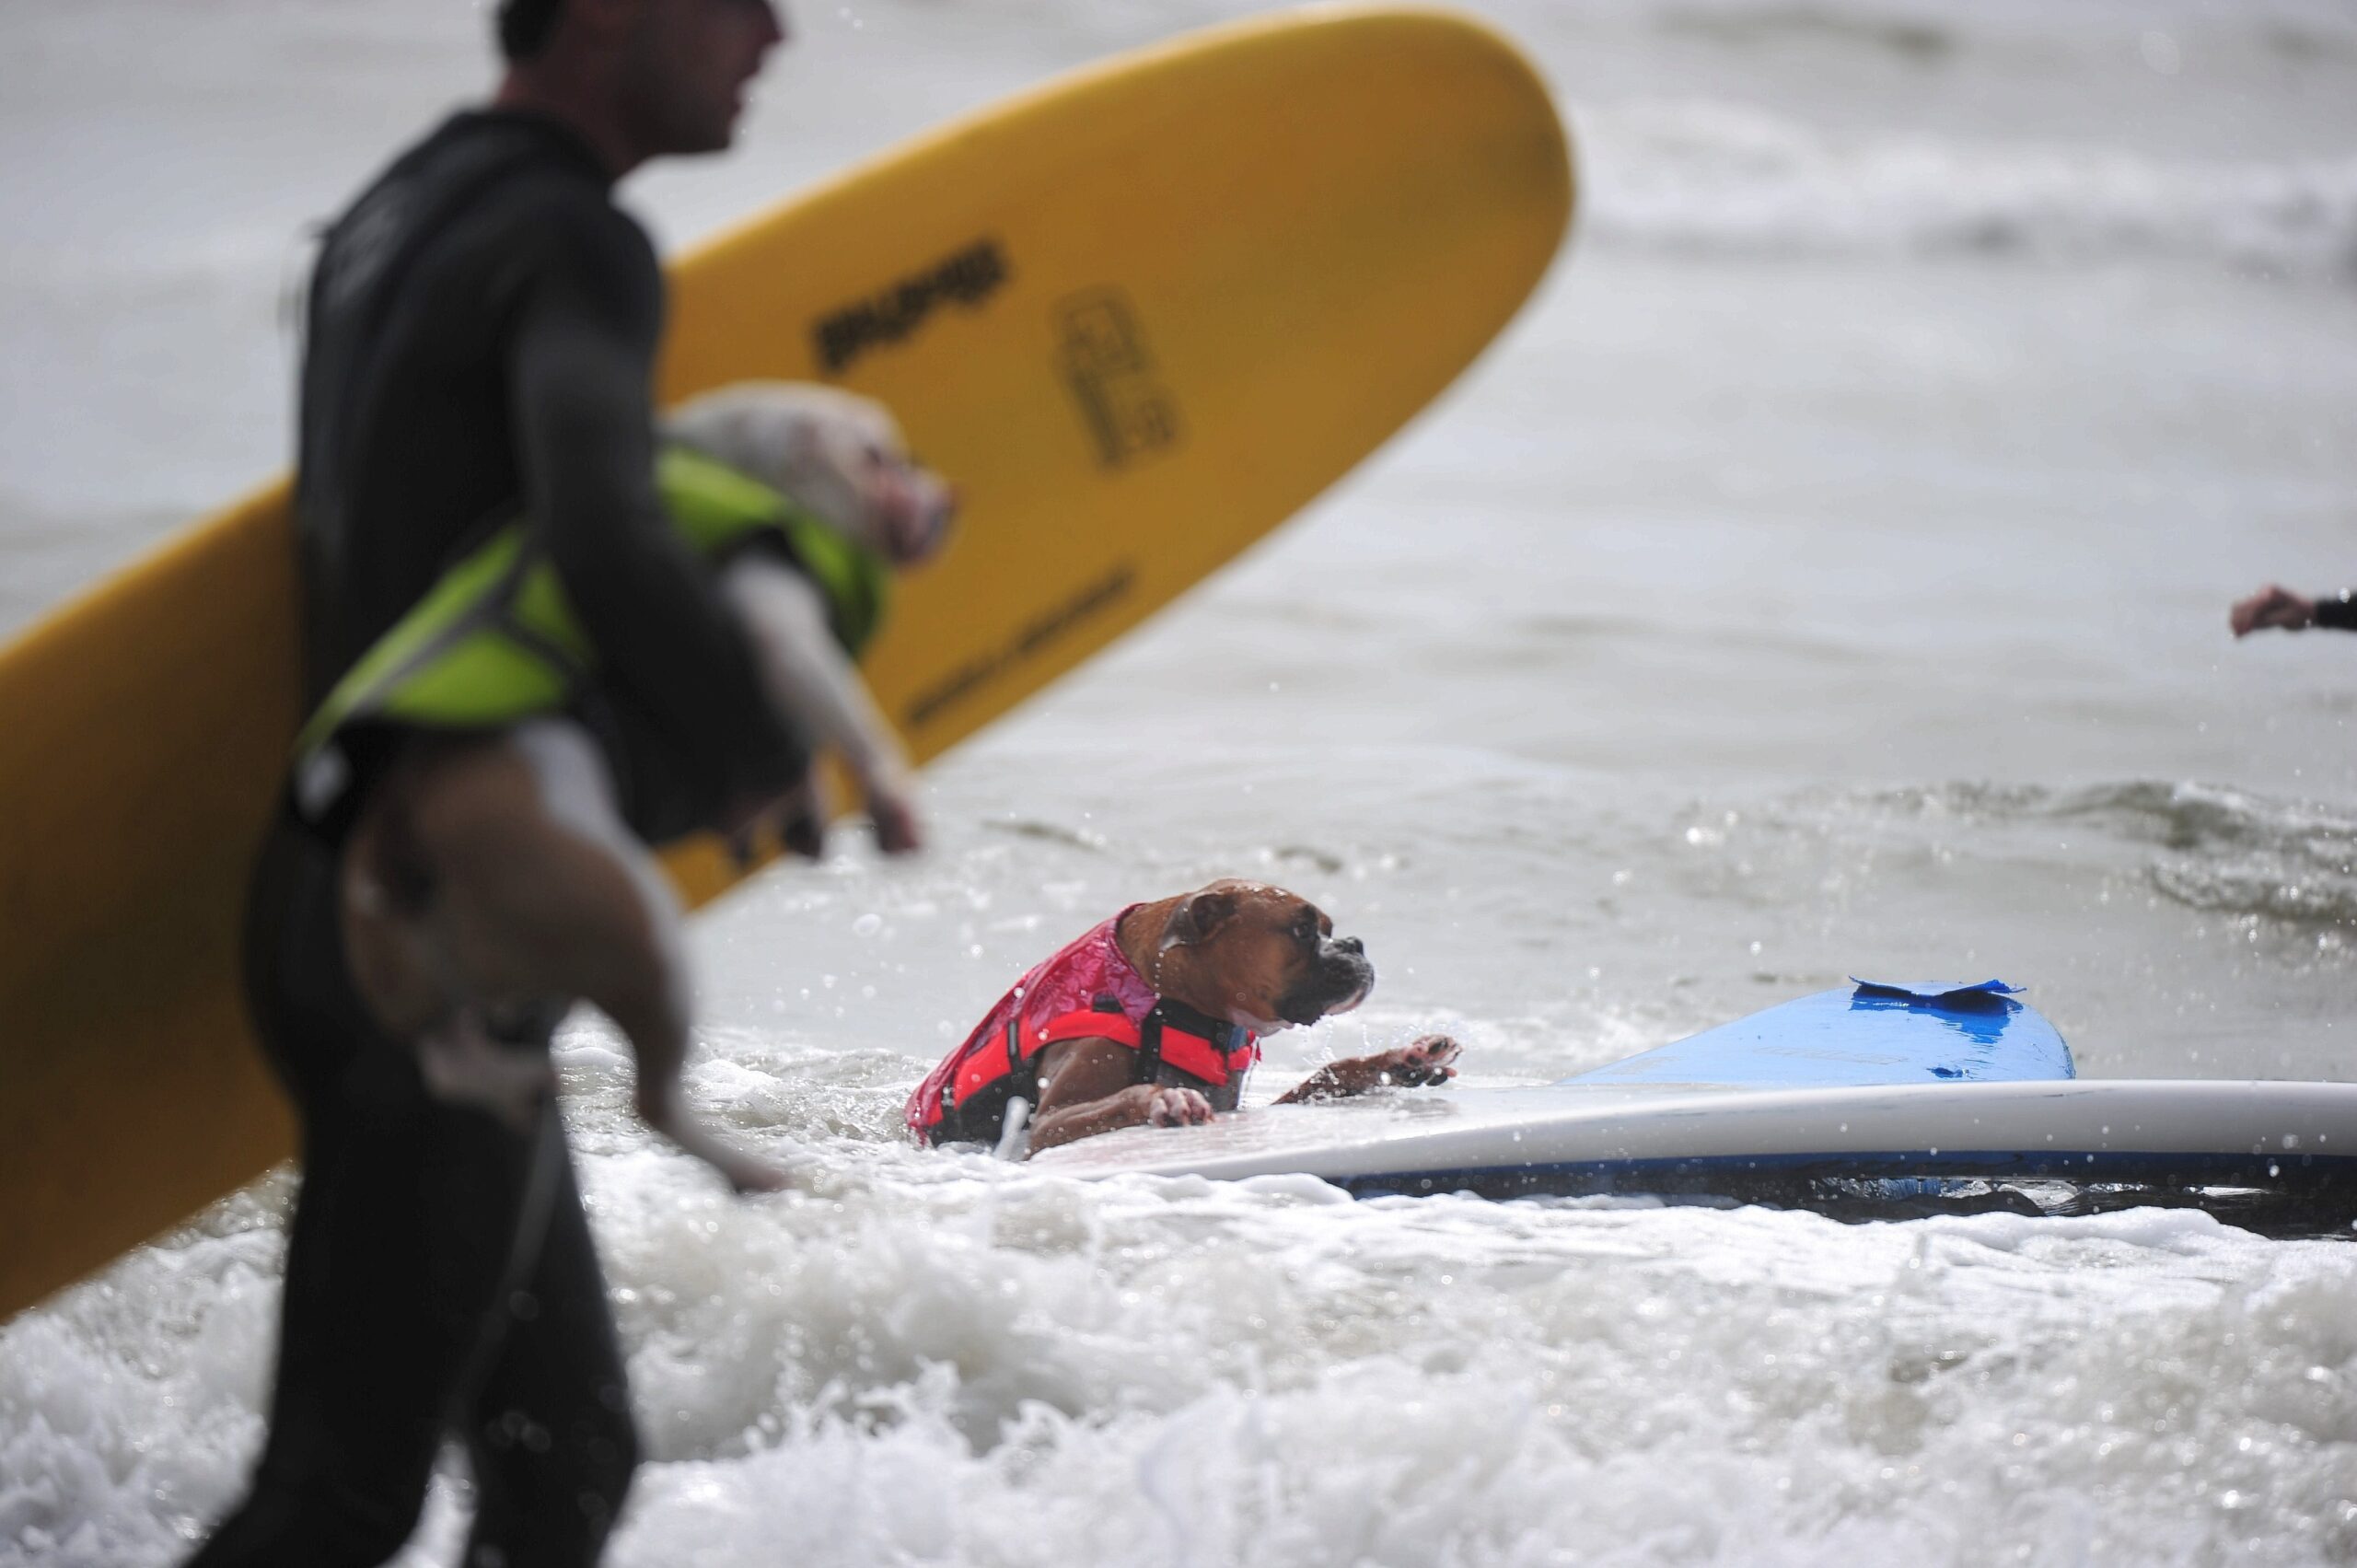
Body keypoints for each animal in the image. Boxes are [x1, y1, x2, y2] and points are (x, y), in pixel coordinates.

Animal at [1023, 881, 1461, 1150]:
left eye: (1329, 929)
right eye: (1302, 930)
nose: (1354, 943)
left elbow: (1330, 1073)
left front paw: (1401, 1060)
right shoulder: (1049, 1125)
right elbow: (1125, 1096)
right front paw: (1167, 1097)